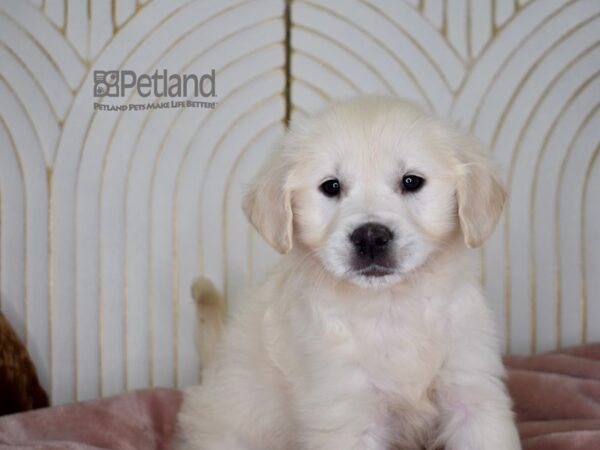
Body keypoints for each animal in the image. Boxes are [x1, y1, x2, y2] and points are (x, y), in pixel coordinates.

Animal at [177, 97, 520, 450]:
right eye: (331, 186)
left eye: (411, 181)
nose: (370, 237)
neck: (391, 305)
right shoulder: (346, 413)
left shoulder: (473, 392)